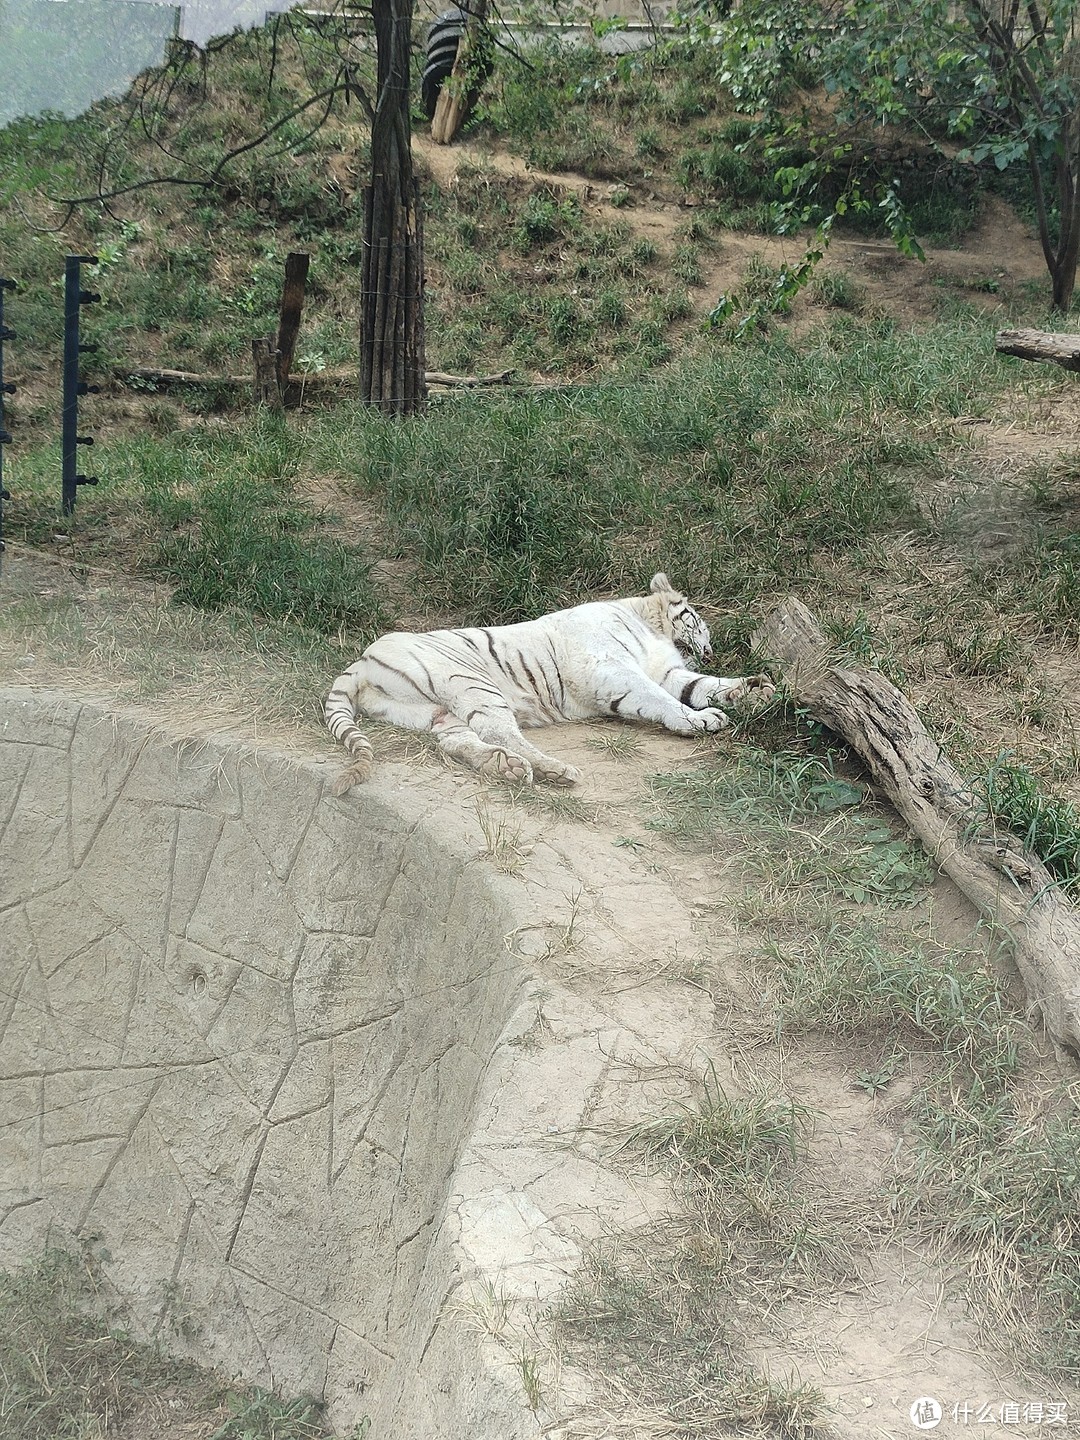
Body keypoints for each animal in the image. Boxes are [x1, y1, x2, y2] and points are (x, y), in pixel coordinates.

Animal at [325, 570, 771, 794]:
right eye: (699, 623)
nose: (710, 651)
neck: (650, 625)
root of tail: (360, 661)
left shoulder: (667, 670)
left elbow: (701, 685)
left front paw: (752, 690)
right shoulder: (611, 668)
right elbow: (658, 698)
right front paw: (697, 720)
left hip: (433, 712)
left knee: (457, 741)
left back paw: (505, 767)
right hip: (469, 679)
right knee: (499, 731)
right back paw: (554, 771)